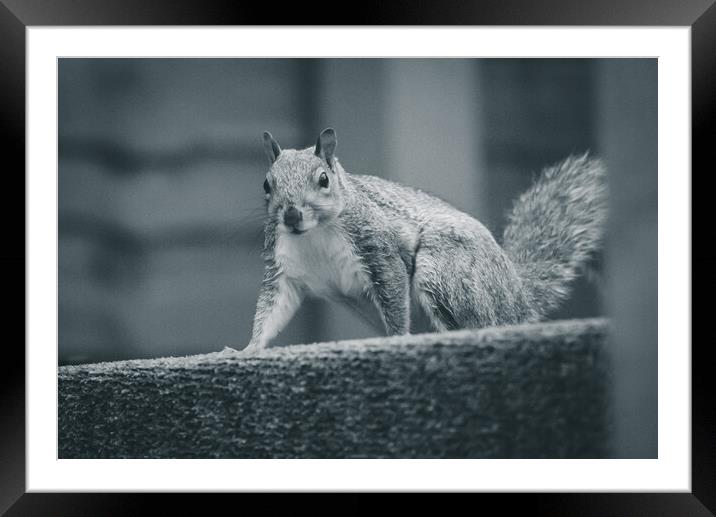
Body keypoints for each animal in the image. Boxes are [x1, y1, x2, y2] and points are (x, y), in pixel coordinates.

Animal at [243, 126, 608, 348]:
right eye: (266, 184)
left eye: (323, 180)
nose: (291, 215)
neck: (314, 233)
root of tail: (517, 298)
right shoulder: (283, 269)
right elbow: (271, 310)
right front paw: (249, 348)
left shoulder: (378, 247)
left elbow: (393, 294)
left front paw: (398, 338)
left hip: (447, 270)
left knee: (476, 322)